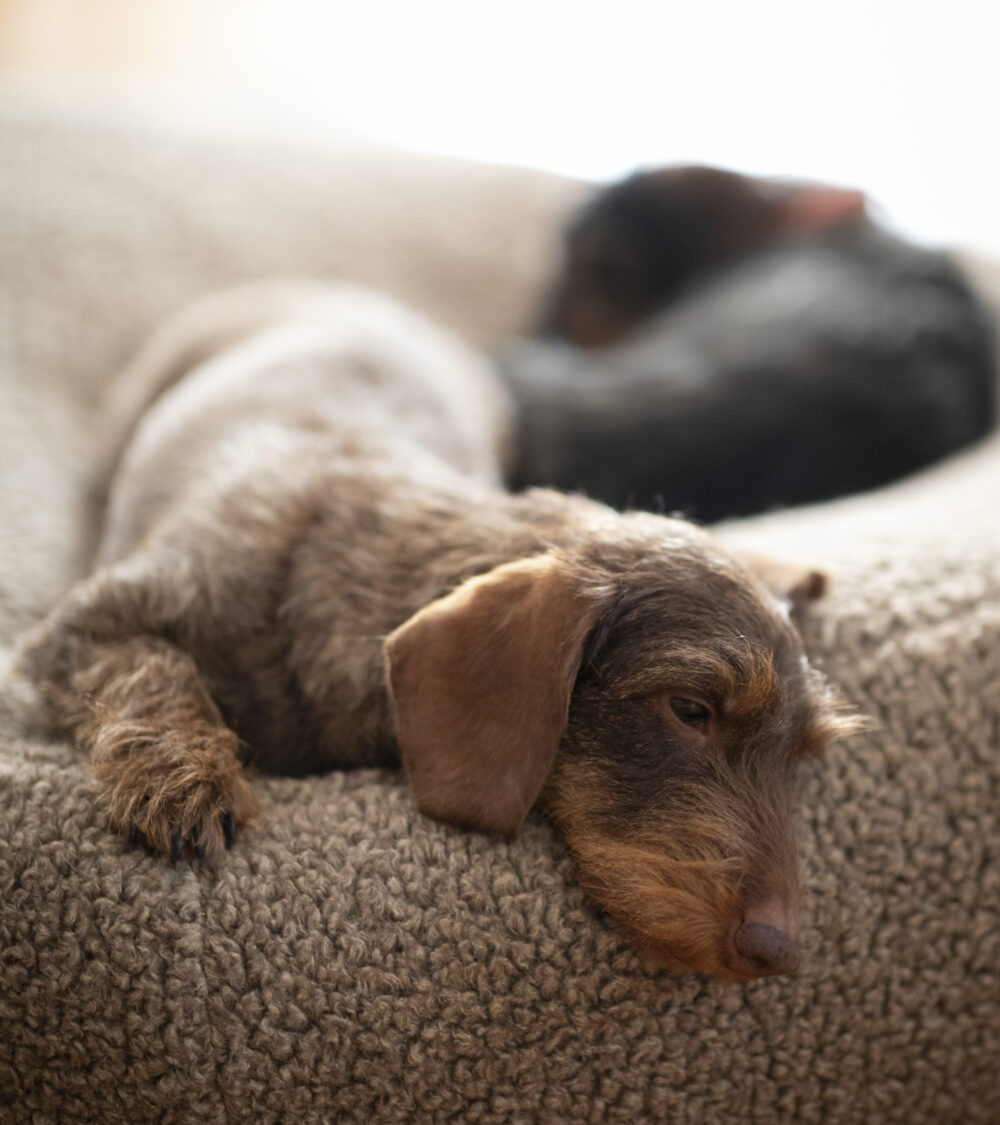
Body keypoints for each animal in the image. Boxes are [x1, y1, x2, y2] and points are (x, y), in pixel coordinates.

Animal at [7, 283, 854, 985]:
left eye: (801, 754)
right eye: (690, 709)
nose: (779, 952)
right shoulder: (89, 625)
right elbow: (149, 669)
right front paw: (185, 777)